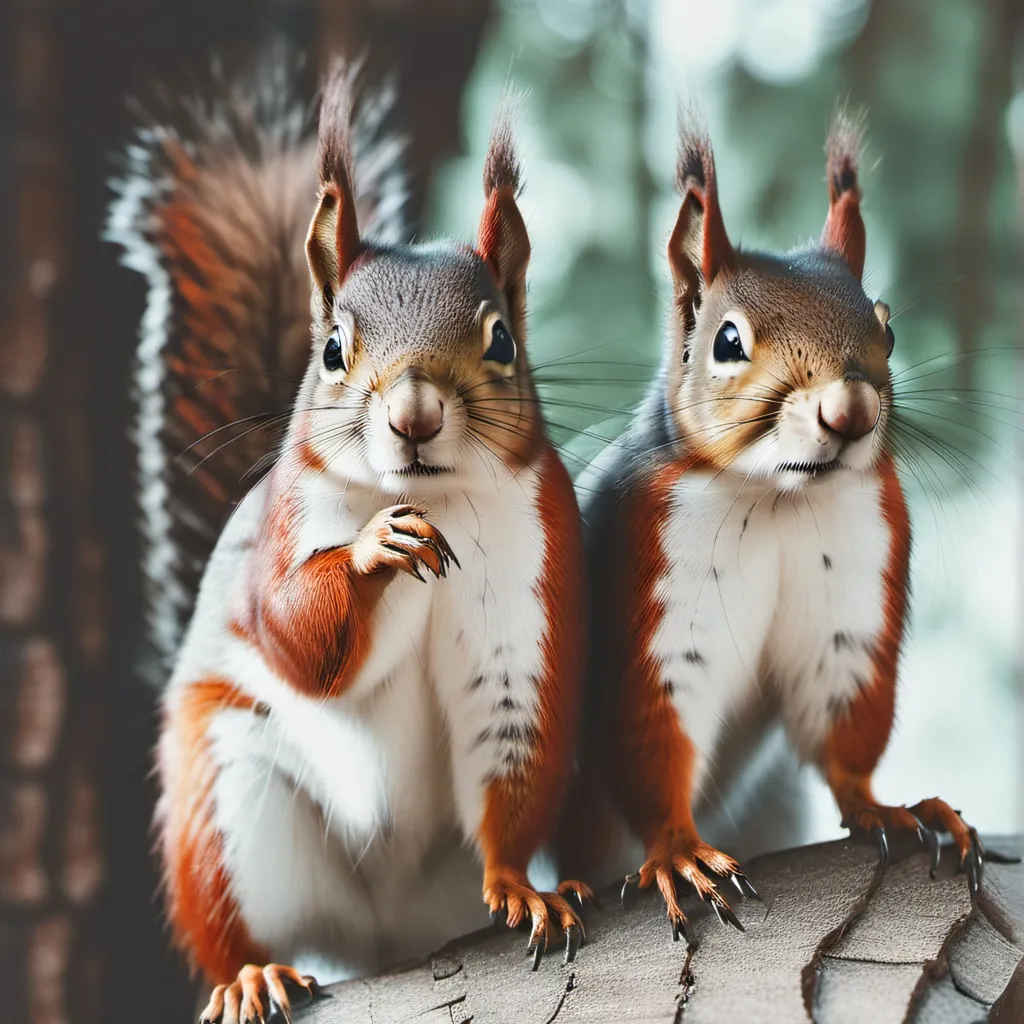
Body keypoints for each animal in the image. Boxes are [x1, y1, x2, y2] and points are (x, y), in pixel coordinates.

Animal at [108, 61, 591, 1023]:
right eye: (332, 350)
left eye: (502, 339)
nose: (414, 415)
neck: (430, 499)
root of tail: (382, 935)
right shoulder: (283, 530)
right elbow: (296, 636)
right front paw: (372, 550)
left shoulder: (526, 594)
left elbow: (510, 750)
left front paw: (524, 887)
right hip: (227, 805)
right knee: (233, 928)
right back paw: (250, 975)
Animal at [570, 110, 1007, 939]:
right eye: (727, 341)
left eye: (888, 329)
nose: (852, 411)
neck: (776, 498)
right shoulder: (656, 611)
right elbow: (652, 743)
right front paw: (680, 852)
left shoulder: (851, 605)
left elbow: (844, 738)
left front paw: (889, 808)